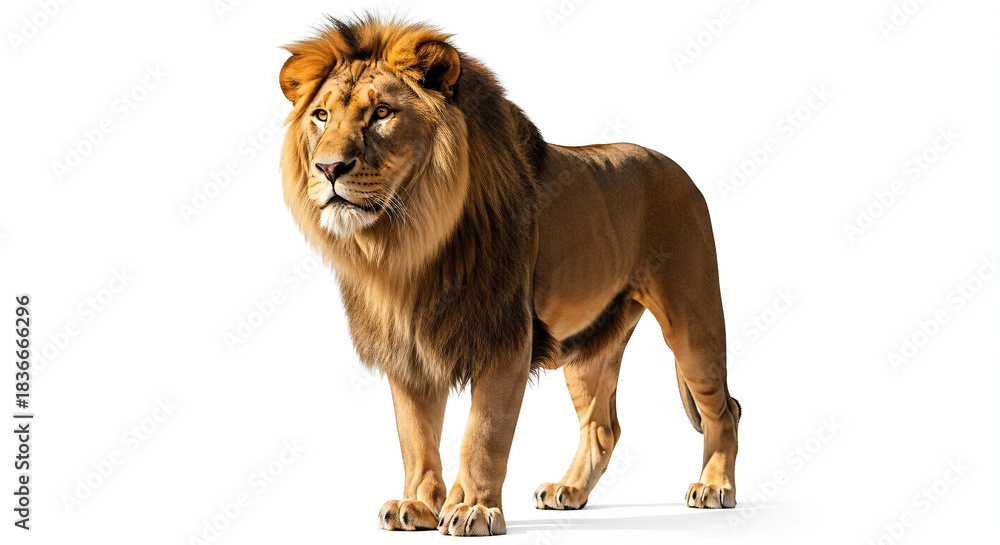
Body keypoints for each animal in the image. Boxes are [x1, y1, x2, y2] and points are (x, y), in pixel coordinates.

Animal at [279, 14, 741, 536]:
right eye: (321, 116)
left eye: (381, 113)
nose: (328, 167)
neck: (408, 243)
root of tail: (678, 168)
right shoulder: (408, 348)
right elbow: (415, 436)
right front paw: (417, 504)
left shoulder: (506, 336)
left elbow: (484, 434)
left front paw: (473, 509)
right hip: (586, 347)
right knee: (602, 427)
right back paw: (568, 491)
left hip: (692, 319)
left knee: (722, 409)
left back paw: (715, 487)